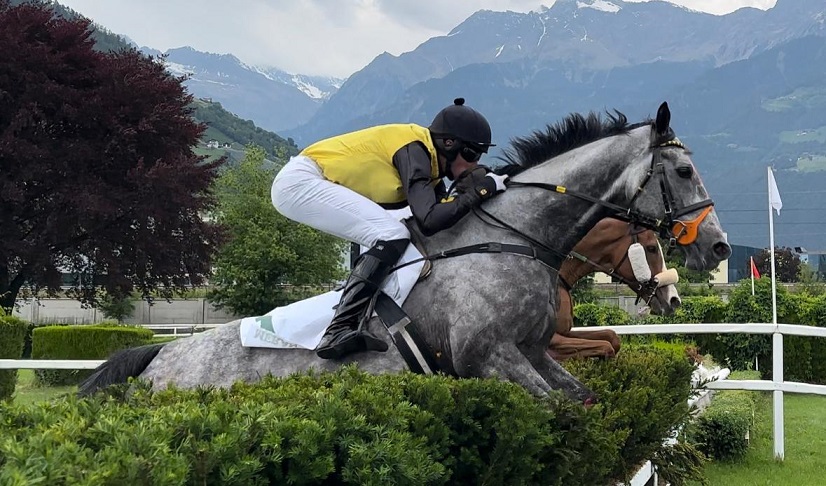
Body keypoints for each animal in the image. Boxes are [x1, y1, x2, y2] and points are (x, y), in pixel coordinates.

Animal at [548, 219, 676, 360]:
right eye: (652, 248)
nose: (673, 299)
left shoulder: (566, 331)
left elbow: (611, 337)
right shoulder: (553, 339)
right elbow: (606, 346)